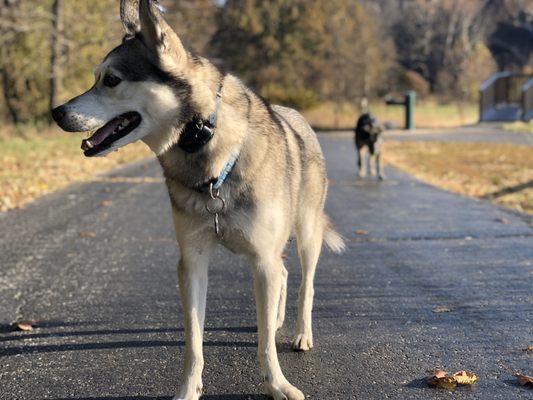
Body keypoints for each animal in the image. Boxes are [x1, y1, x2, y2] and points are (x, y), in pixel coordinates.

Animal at [51, 1, 344, 398]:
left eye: (110, 80)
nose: (56, 113)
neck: (208, 151)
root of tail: (295, 113)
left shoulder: (262, 258)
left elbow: (266, 344)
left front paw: (278, 385)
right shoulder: (192, 262)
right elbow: (193, 340)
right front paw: (189, 389)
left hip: (307, 237)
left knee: (305, 286)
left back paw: (300, 333)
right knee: (283, 276)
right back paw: (278, 319)